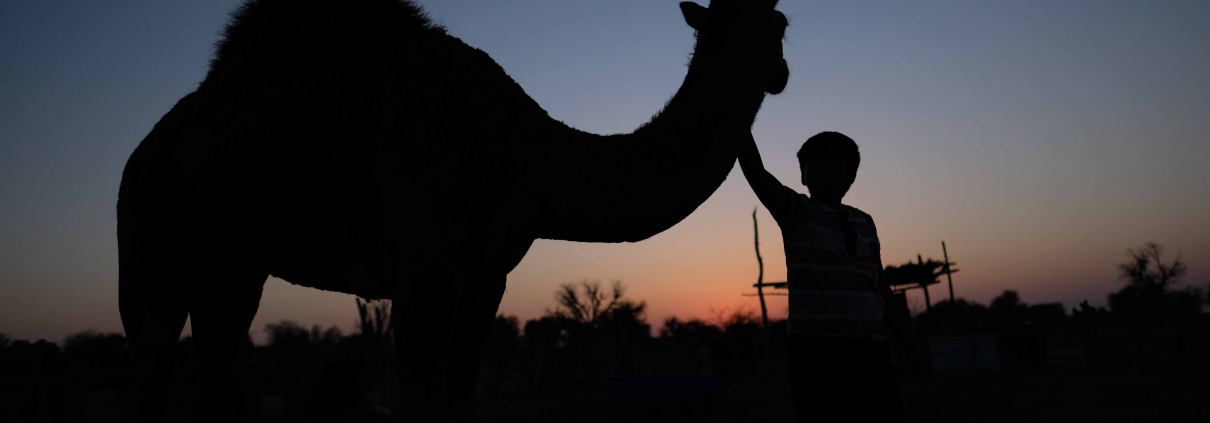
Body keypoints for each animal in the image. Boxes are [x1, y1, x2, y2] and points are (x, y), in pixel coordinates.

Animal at [117, 0, 788, 420]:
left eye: (780, 22)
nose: (779, 72)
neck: (522, 151)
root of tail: (148, 145)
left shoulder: (487, 278)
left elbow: (460, 401)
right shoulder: (426, 270)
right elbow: (420, 404)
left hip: (234, 262)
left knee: (220, 346)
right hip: (148, 220)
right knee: (150, 351)